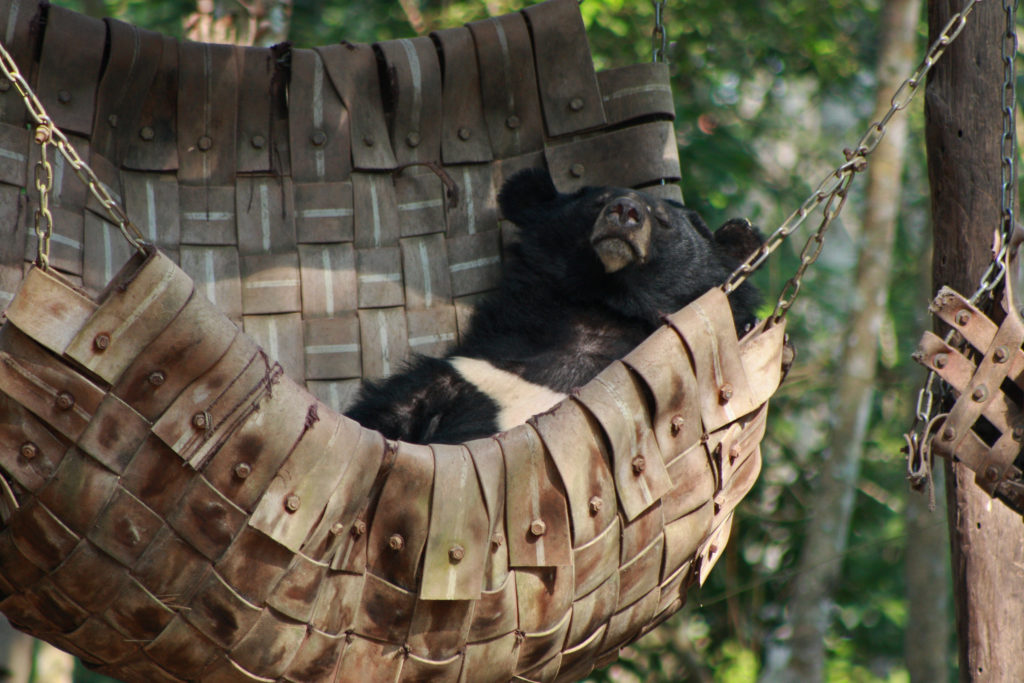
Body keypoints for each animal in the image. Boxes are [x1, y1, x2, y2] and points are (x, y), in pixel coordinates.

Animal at [344, 167, 763, 445]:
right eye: (597, 202)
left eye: (662, 221)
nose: (625, 210)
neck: (600, 302)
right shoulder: (468, 372)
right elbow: (389, 410)